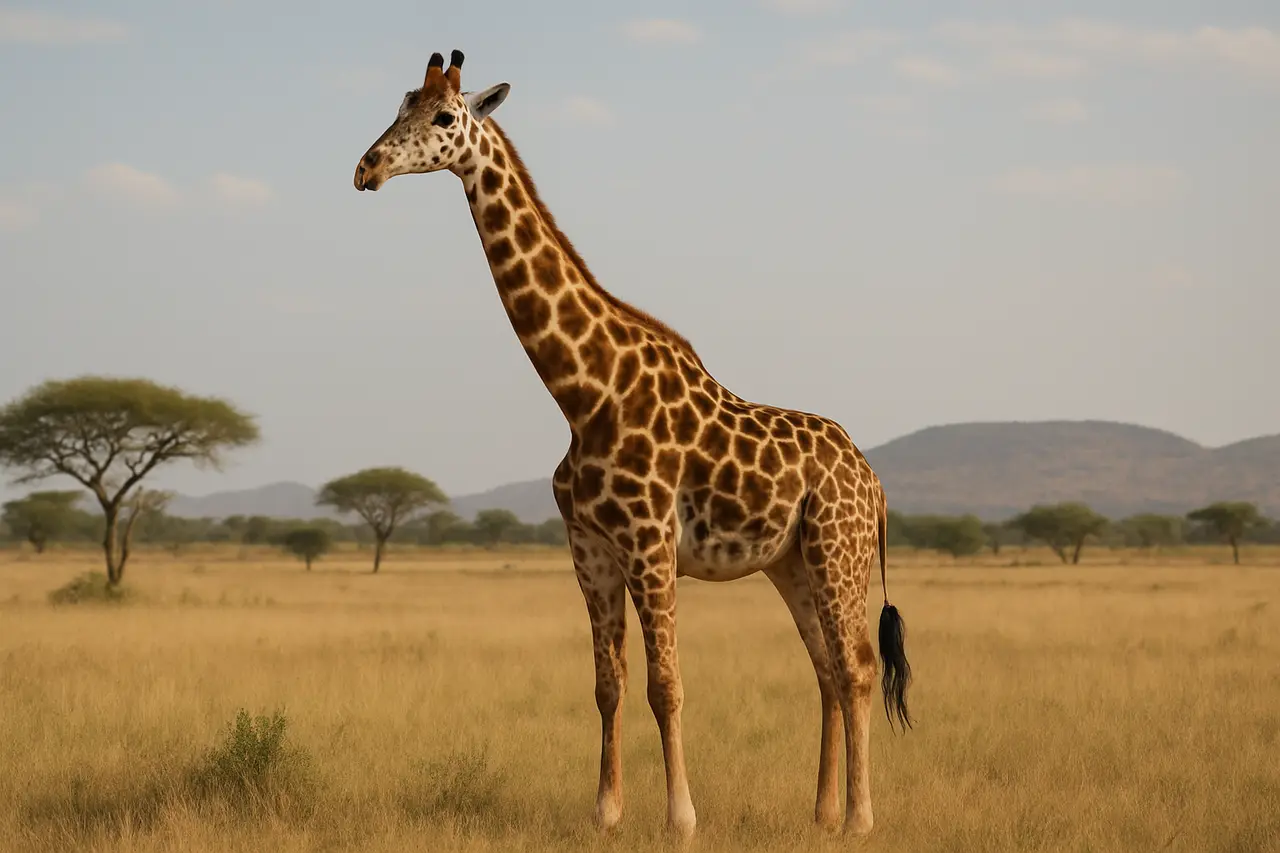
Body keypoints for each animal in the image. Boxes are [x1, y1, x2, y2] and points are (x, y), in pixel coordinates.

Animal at [352, 49, 913, 838]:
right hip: (791, 563)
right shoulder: (589, 550)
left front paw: (681, 818)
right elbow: (607, 685)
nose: (366, 167)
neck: (585, 394)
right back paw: (821, 813)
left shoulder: (650, 545)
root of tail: (874, 479)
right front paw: (606, 811)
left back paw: (860, 818)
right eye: (401, 102)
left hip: (840, 550)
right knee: (828, 671)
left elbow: (666, 685)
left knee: (858, 666)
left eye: (445, 116)